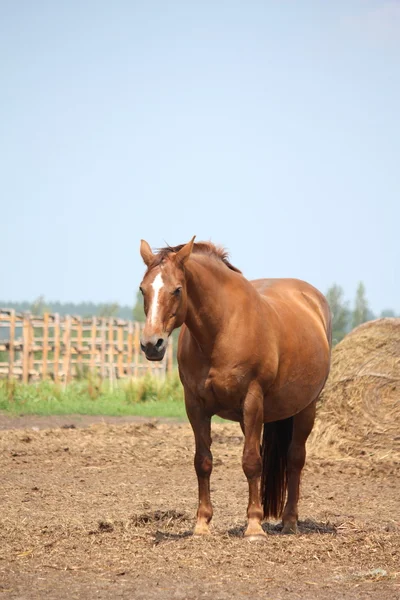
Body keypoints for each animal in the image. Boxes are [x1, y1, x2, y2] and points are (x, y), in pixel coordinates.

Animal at [138, 238, 332, 540]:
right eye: (143, 289)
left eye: (177, 289)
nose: (151, 344)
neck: (221, 330)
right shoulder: (195, 406)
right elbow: (203, 461)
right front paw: (202, 524)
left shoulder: (252, 400)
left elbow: (251, 462)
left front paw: (254, 526)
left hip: (305, 409)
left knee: (295, 459)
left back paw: (289, 521)